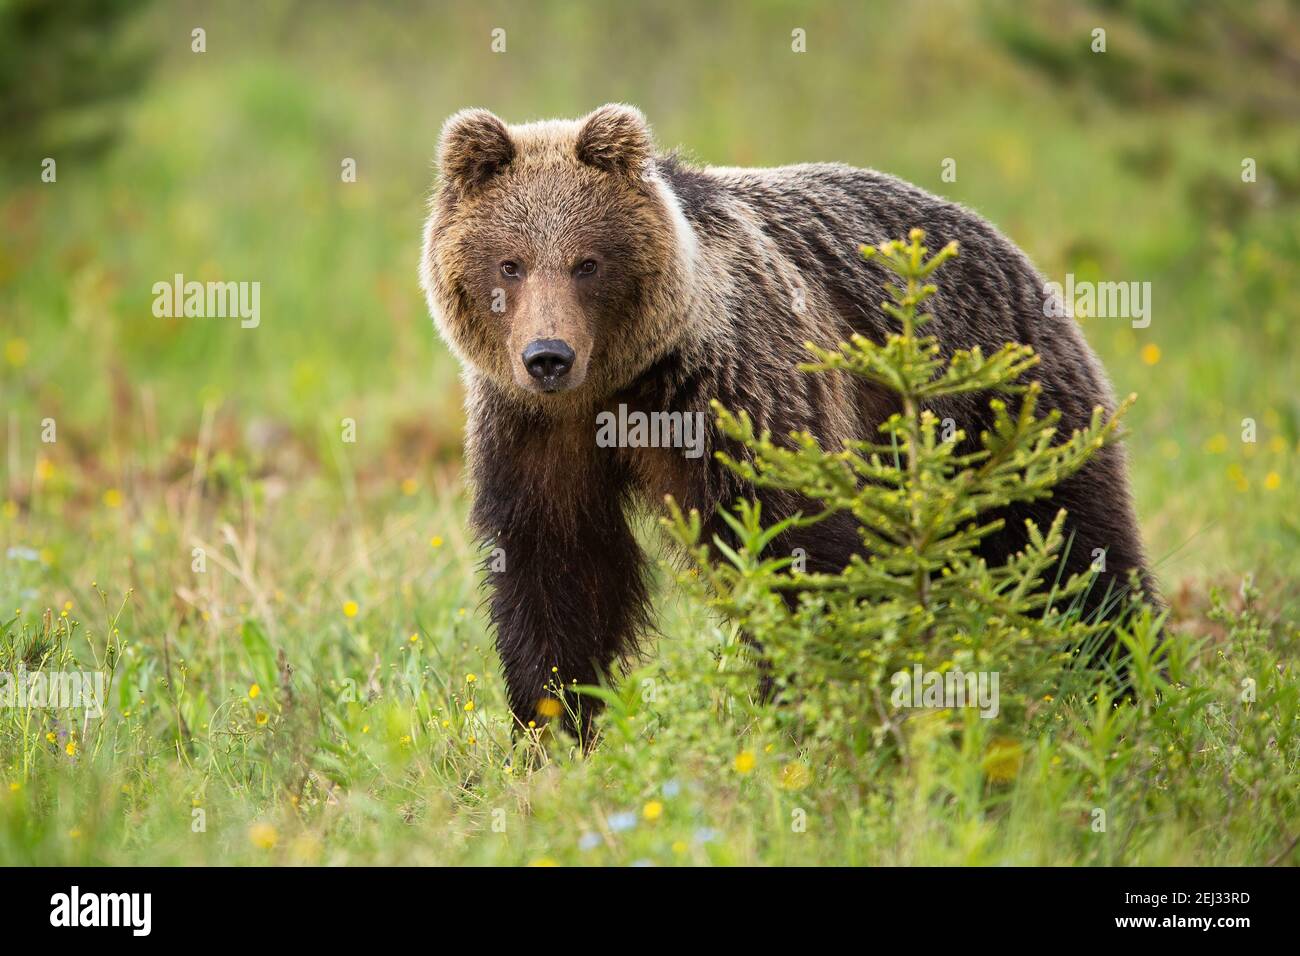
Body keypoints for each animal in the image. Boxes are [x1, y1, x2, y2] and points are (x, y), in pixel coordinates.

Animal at [420, 103, 1157, 737]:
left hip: (1008, 413)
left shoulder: (734, 398)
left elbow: (792, 550)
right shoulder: (534, 433)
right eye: (510, 263)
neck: (619, 387)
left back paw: (1127, 681)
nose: (548, 355)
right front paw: (553, 726)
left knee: (1073, 553)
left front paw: (810, 703)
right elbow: (557, 570)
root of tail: (1008, 248)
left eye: (587, 262)